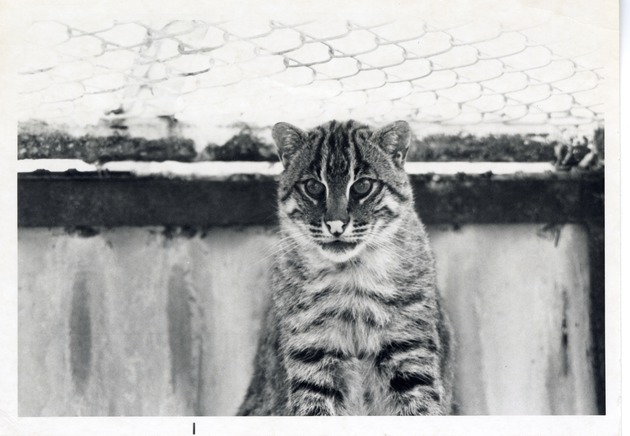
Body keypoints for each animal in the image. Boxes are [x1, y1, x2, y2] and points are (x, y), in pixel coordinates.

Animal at [238, 119, 454, 416]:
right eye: (313, 187)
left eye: (362, 186)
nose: (336, 224)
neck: (350, 273)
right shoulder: (312, 354)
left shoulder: (409, 351)